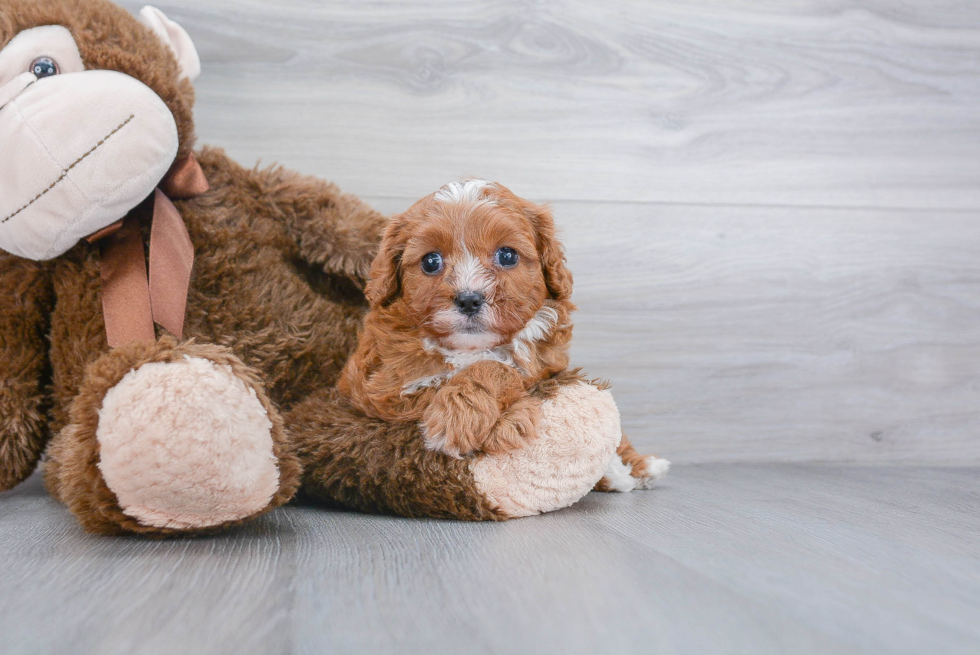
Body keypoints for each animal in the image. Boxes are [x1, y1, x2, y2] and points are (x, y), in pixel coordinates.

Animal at [340, 179, 668, 492]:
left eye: (507, 255)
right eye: (430, 261)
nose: (469, 299)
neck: (472, 348)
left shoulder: (545, 368)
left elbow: (499, 368)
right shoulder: (385, 391)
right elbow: (474, 373)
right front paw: (476, 422)